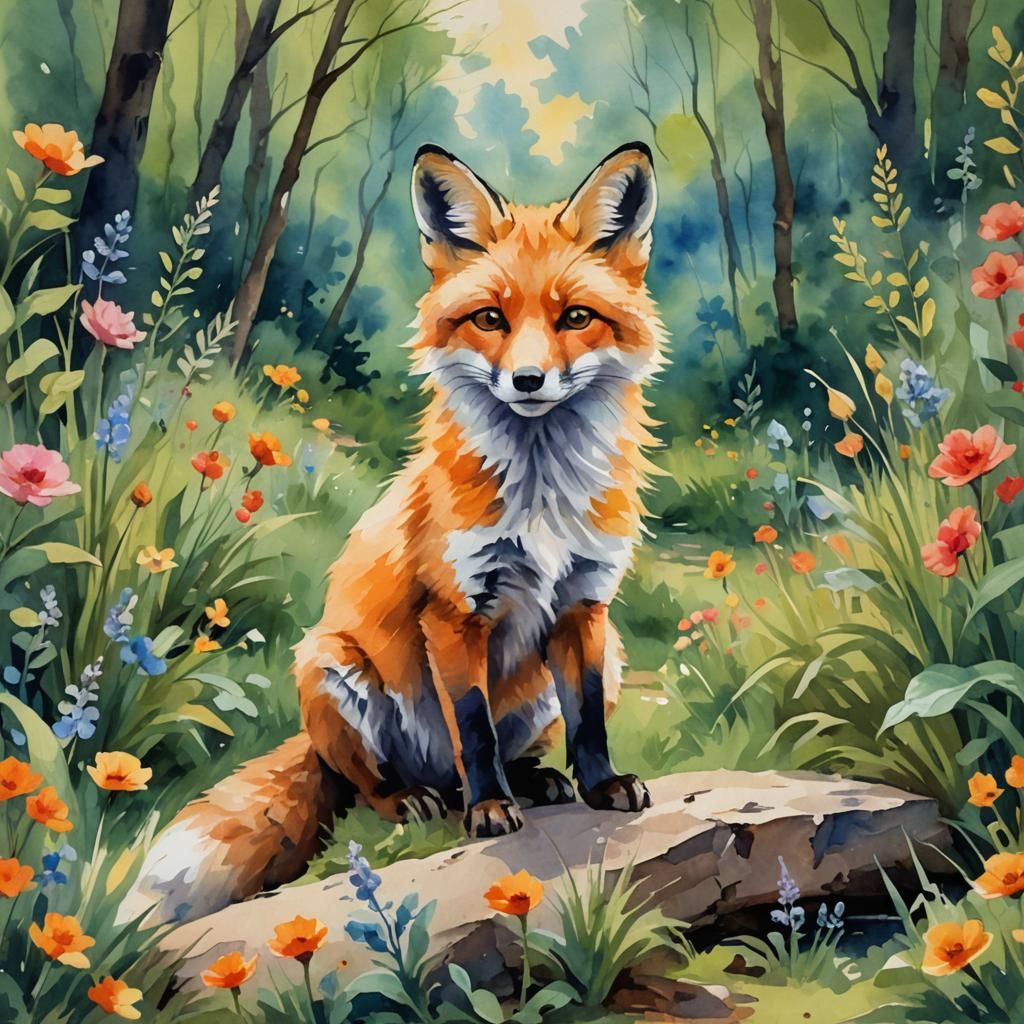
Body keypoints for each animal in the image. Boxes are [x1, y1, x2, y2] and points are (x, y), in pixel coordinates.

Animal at [121, 141, 667, 926]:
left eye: (576, 317)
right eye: (491, 319)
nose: (529, 381)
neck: (541, 498)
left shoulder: (586, 604)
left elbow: (587, 717)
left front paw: (601, 787)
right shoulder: (454, 611)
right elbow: (474, 729)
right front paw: (490, 810)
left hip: (607, 653)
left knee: (515, 748)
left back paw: (536, 781)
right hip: (330, 667)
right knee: (370, 788)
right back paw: (425, 799)